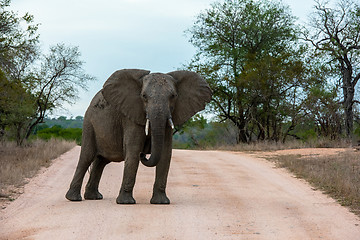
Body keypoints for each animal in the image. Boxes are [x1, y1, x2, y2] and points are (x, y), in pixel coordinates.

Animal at [65, 68, 211, 203]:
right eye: (144, 96)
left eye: (173, 96)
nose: (144, 154)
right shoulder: (131, 117)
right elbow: (133, 151)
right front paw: (126, 202)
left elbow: (165, 154)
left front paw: (161, 202)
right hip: (89, 123)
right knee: (87, 157)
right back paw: (74, 199)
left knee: (101, 161)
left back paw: (94, 197)